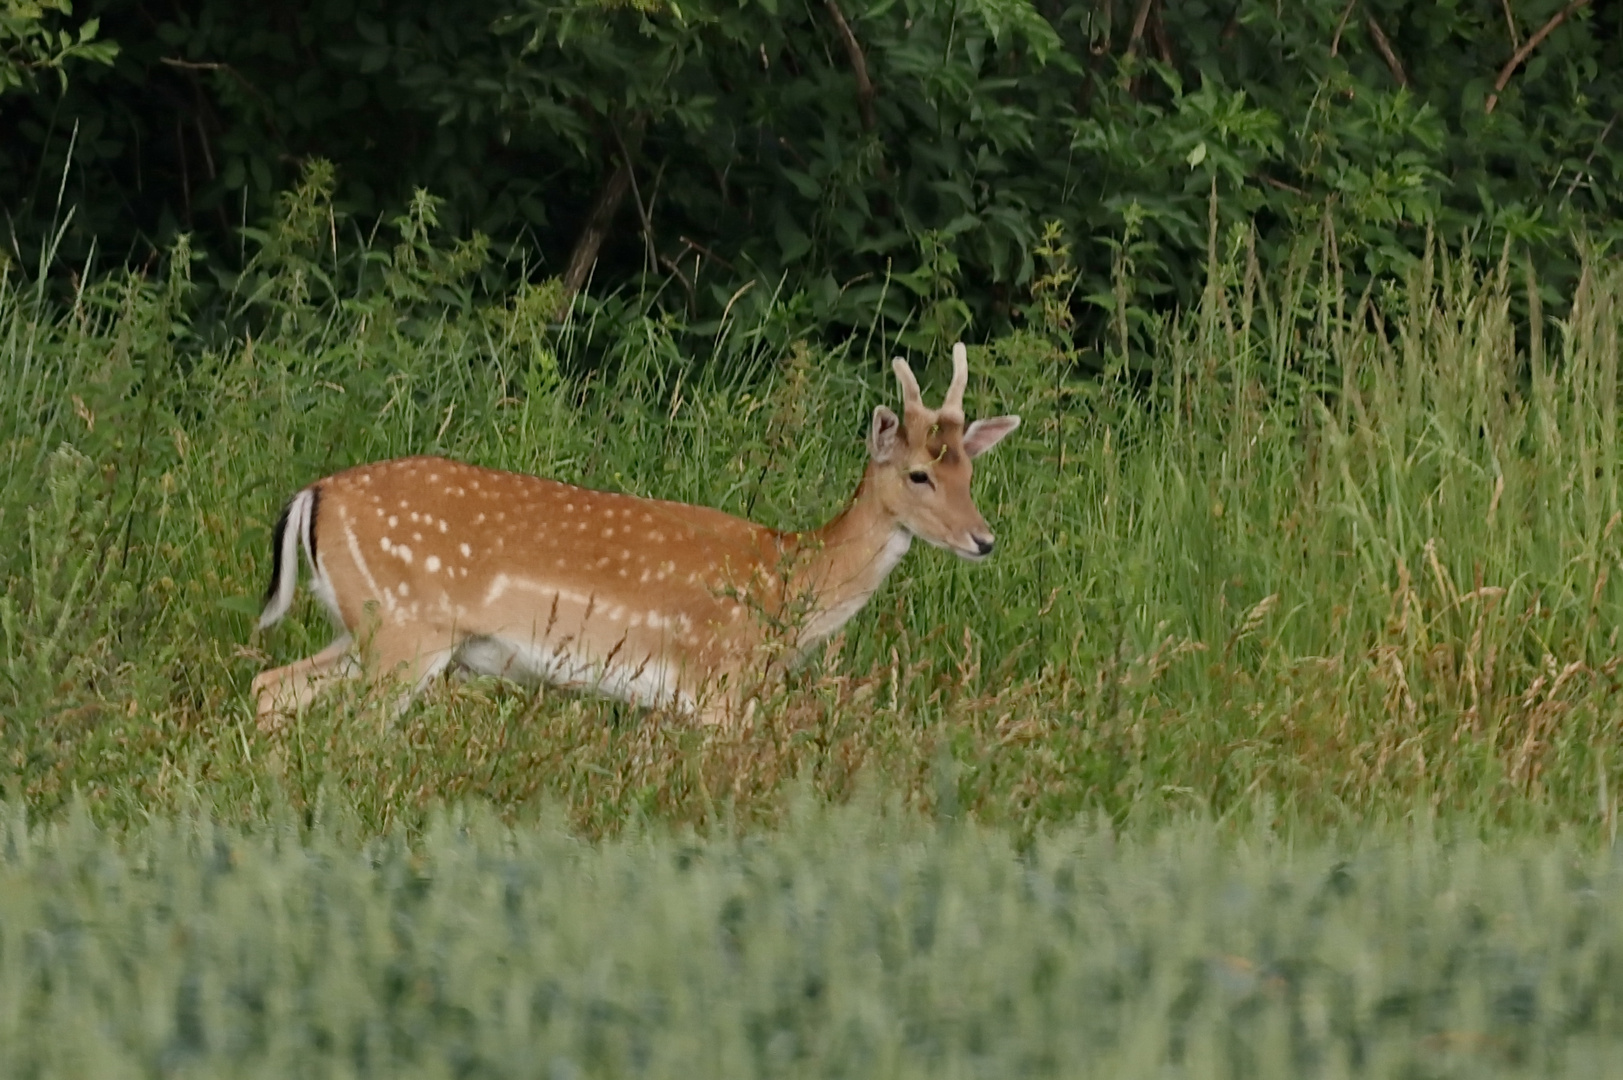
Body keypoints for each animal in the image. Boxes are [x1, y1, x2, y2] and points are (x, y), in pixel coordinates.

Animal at [251, 342, 1012, 724]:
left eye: (971, 469)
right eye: (919, 474)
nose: (984, 540)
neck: (790, 583)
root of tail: (314, 494)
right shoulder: (721, 685)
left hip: (367, 626)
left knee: (270, 686)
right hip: (405, 630)